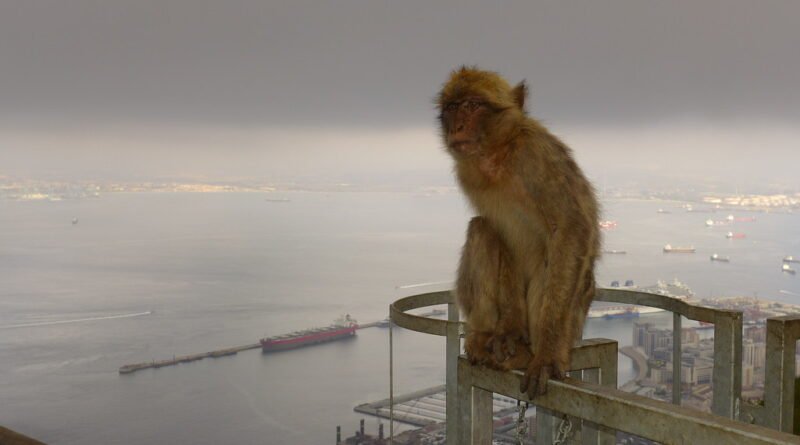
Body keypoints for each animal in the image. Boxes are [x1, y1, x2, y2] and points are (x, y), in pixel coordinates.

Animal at [437, 67, 600, 397]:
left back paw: (531, 353)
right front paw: (509, 329)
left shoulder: (537, 155)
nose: (456, 126)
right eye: (452, 107)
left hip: (575, 319)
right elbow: (502, 236)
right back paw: (488, 336)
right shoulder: (469, 175)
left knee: (553, 256)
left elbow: (570, 228)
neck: (498, 155)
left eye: (472, 105)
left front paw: (547, 355)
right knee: (482, 229)